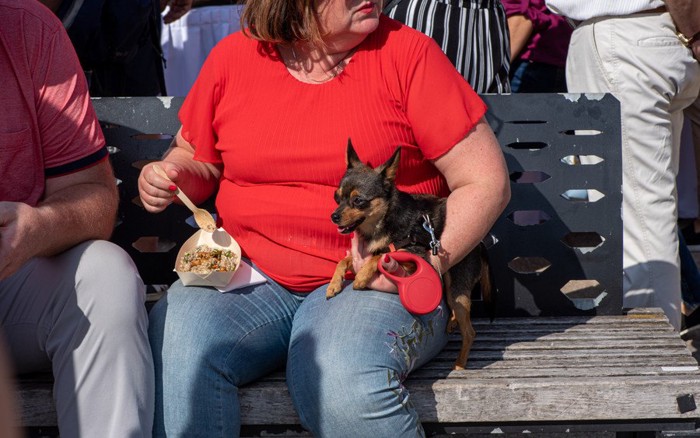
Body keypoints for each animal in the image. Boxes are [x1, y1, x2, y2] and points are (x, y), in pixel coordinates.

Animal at [328, 139, 492, 370]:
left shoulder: (414, 255)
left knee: (470, 332)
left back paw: (460, 364)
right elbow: (344, 260)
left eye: (358, 201)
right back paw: (452, 325)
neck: (382, 222)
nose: (333, 216)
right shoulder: (362, 253)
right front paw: (334, 284)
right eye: (336, 198)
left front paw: (361, 277)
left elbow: (382, 256)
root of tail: (480, 246)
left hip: (456, 288)